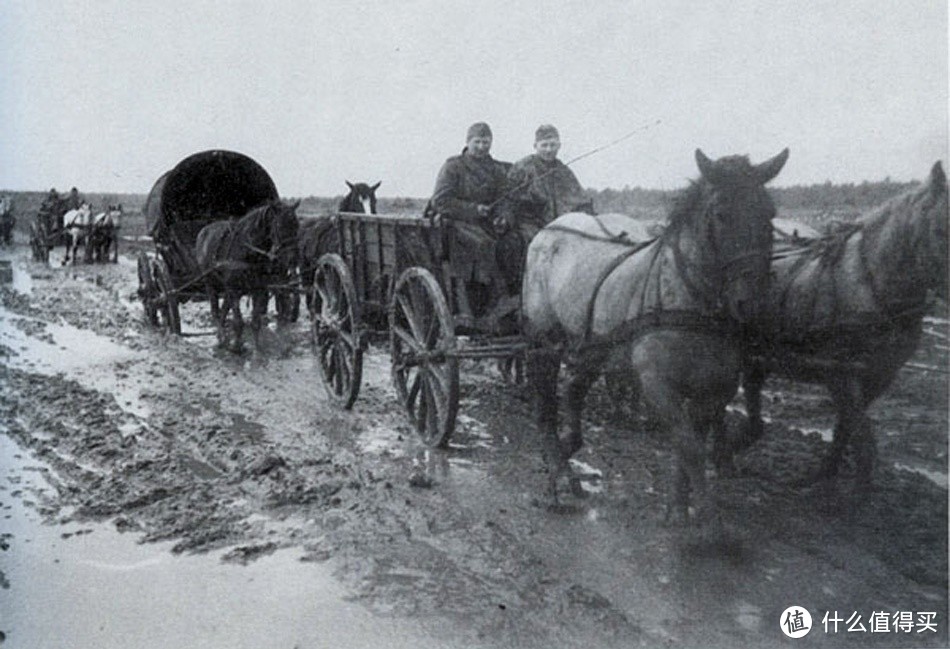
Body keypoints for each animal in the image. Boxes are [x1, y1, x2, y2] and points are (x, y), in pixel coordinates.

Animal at [193, 200, 298, 352]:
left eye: (297, 225)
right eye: (279, 226)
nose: (292, 259)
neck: (248, 250)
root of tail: (203, 231)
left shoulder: (259, 289)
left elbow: (255, 322)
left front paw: (257, 349)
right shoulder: (233, 288)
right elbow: (238, 321)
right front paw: (237, 346)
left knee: (224, 308)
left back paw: (223, 336)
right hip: (210, 282)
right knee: (215, 310)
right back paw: (221, 337)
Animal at [524, 147, 792, 520]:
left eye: (770, 215)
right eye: (720, 214)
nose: (751, 302)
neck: (690, 300)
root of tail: (550, 227)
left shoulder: (716, 387)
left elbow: (689, 443)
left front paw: (680, 505)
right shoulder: (657, 382)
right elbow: (688, 444)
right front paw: (704, 516)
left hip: (596, 347)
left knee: (574, 392)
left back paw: (568, 456)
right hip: (545, 340)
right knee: (545, 406)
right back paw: (559, 473)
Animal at [728, 160, 944, 484]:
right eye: (942, 228)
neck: (871, 285)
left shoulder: (879, 377)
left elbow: (845, 431)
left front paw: (823, 479)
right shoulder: (841, 375)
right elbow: (863, 445)